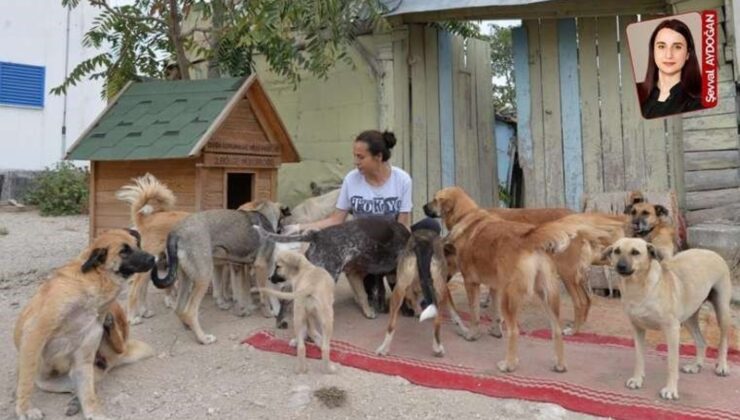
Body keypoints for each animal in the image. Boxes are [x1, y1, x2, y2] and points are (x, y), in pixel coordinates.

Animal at [14, 230, 155, 420]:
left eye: (137, 244)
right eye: (123, 251)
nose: (153, 258)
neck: (95, 280)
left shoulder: (84, 357)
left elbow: (88, 394)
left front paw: (94, 413)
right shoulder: (34, 335)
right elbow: (26, 380)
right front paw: (24, 409)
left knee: (117, 350)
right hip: (51, 380)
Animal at [115, 172, 189, 324]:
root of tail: (146, 219)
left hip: (151, 262)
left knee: (142, 289)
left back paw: (145, 311)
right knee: (134, 290)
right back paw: (132, 317)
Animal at [422, 186, 624, 370]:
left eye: (435, 199)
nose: (423, 207)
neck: (467, 216)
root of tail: (529, 237)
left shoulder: (471, 282)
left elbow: (475, 314)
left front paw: (473, 334)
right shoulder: (495, 286)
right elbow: (495, 313)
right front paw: (495, 330)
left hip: (553, 279)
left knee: (519, 329)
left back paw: (509, 364)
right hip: (549, 292)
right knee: (560, 326)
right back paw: (561, 361)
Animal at [604, 238, 732, 402]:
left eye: (635, 252)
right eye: (617, 251)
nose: (620, 266)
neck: (638, 288)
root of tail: (711, 251)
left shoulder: (672, 330)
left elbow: (672, 363)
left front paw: (670, 390)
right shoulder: (637, 329)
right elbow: (639, 358)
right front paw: (637, 379)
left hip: (722, 311)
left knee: (723, 340)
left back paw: (722, 366)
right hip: (689, 317)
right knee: (702, 342)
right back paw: (695, 366)